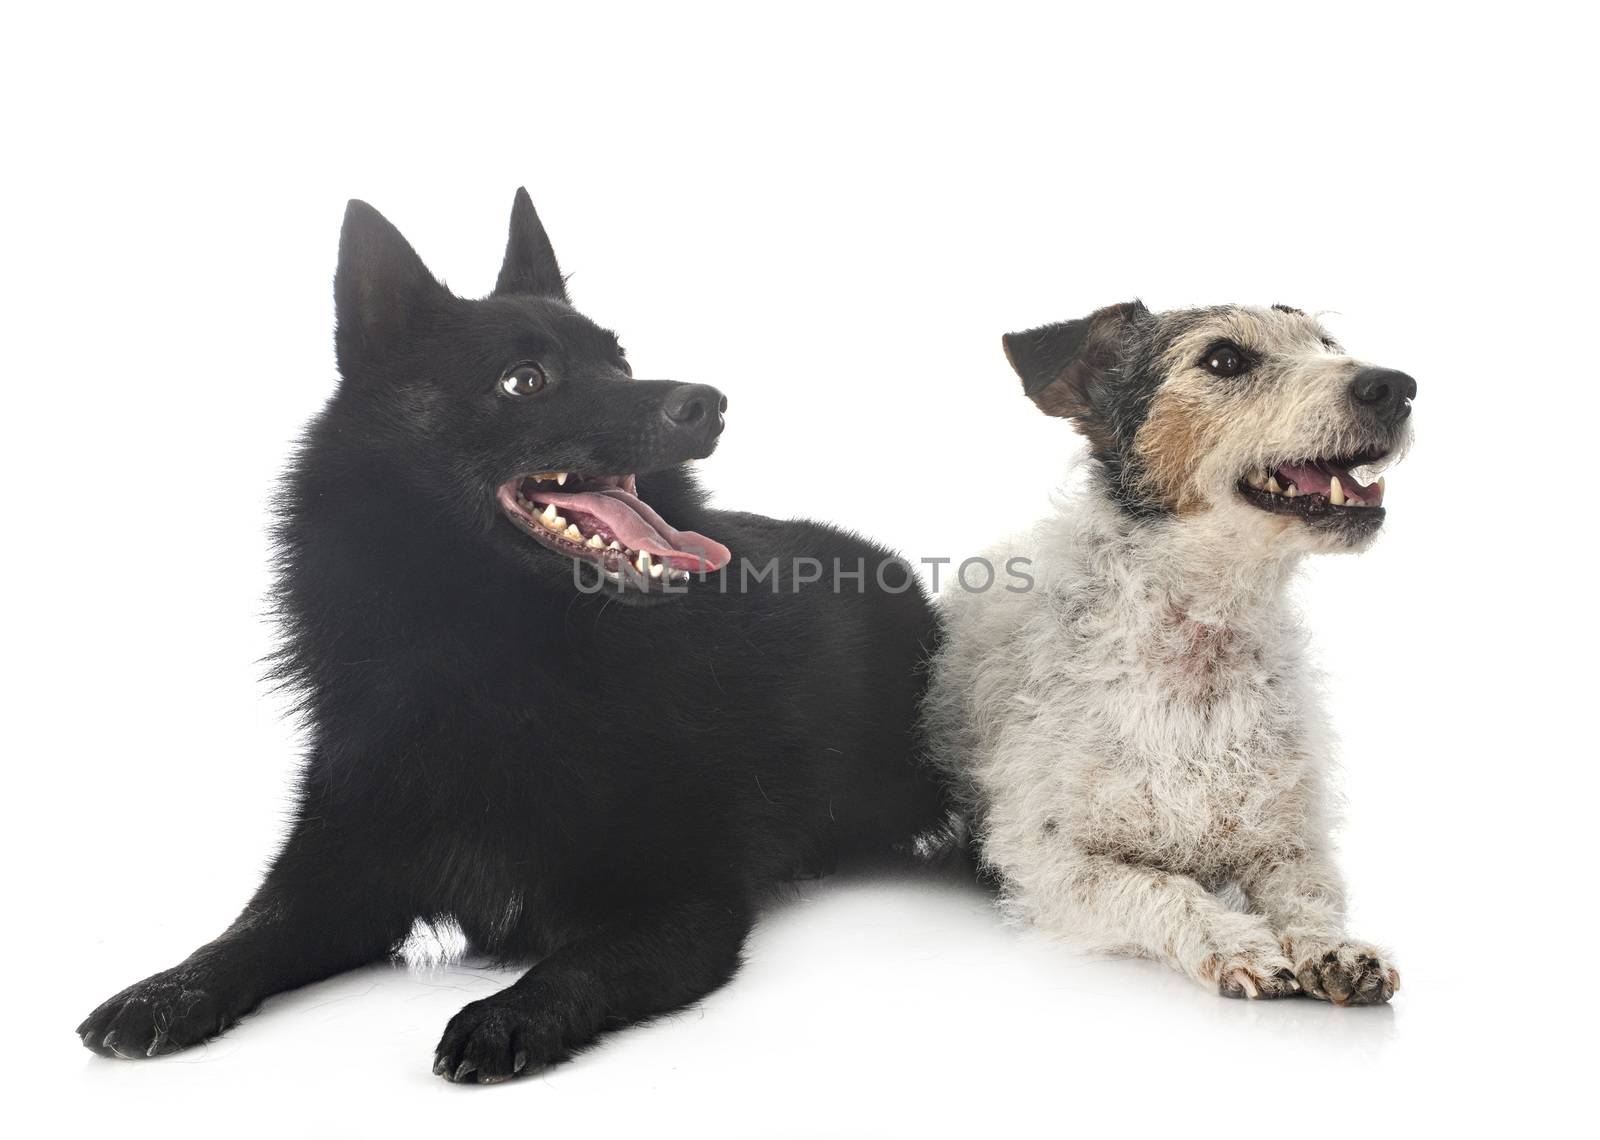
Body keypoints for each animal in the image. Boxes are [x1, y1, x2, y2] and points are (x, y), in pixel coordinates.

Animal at [78, 191, 947, 1082]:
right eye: (525, 380)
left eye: (621, 362)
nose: (710, 401)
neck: (498, 658)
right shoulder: (335, 870)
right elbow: (247, 933)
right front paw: (167, 989)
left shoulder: (678, 902)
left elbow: (579, 963)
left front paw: (506, 1013)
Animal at [928, 297, 1414, 999]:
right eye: (1224, 359)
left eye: (1326, 344)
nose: (1396, 386)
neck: (1201, 648)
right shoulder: (1055, 860)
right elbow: (1164, 887)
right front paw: (1239, 942)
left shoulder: (1288, 843)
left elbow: (1309, 895)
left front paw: (1334, 946)